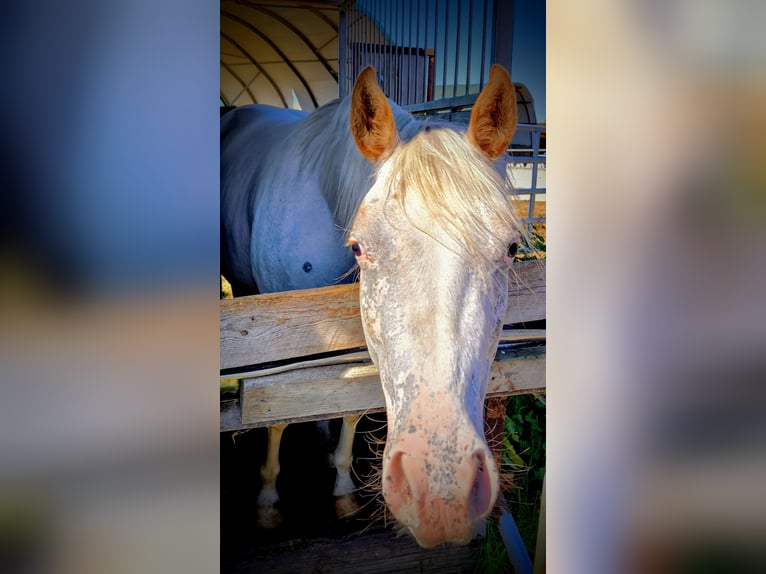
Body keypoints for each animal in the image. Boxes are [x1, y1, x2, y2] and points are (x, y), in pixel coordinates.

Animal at [222, 65, 520, 552]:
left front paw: (343, 489)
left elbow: (348, 407)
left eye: (511, 249)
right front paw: (268, 502)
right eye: (360, 247)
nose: (442, 491)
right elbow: (276, 416)